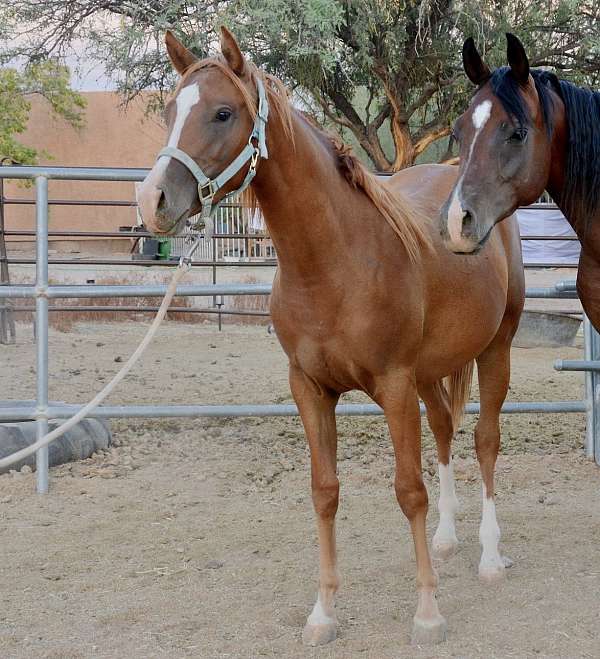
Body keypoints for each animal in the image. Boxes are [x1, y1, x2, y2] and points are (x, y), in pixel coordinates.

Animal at [137, 27, 525, 646]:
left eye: (223, 112)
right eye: (172, 110)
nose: (153, 201)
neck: (335, 262)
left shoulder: (393, 386)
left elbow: (407, 490)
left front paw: (427, 612)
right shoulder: (310, 388)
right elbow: (325, 493)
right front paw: (323, 613)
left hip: (496, 349)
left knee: (485, 440)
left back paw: (489, 556)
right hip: (432, 369)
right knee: (445, 427)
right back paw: (446, 538)